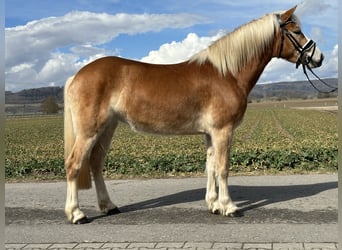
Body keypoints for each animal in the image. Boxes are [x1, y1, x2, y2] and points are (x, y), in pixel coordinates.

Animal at [63, 5, 324, 225]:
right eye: (297, 31)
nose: (319, 57)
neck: (226, 74)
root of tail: (76, 76)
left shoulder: (210, 133)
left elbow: (210, 167)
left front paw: (214, 204)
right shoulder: (223, 131)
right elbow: (223, 168)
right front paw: (229, 207)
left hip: (108, 127)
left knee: (96, 163)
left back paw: (108, 206)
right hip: (89, 130)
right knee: (74, 164)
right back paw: (76, 213)